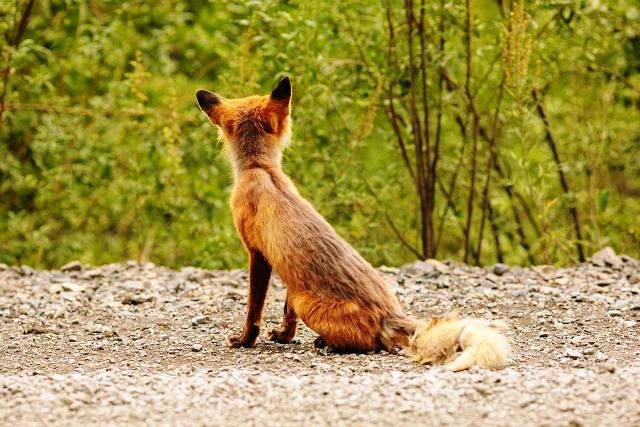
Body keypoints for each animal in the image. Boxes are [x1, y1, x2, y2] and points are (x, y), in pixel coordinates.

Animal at [195, 77, 510, 372]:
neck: (260, 169)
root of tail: (390, 314)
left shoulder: (257, 253)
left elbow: (253, 309)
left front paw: (245, 340)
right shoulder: (288, 276)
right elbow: (286, 312)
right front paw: (284, 336)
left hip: (307, 303)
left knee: (369, 345)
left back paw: (327, 344)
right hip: (301, 294)